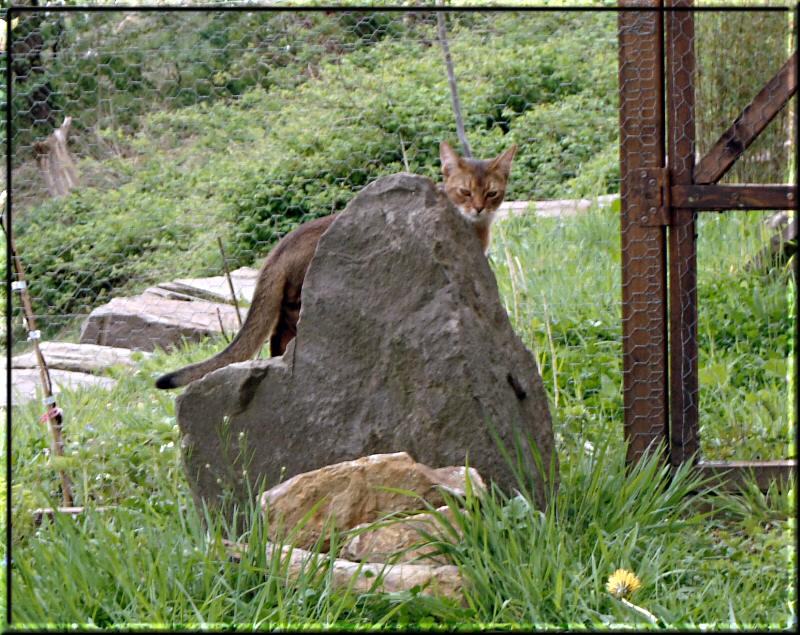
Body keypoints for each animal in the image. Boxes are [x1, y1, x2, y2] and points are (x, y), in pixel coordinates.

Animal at [156, 142, 520, 390]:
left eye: (491, 193)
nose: (477, 209)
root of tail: (281, 246)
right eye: (464, 192)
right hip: (304, 296)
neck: (475, 229)